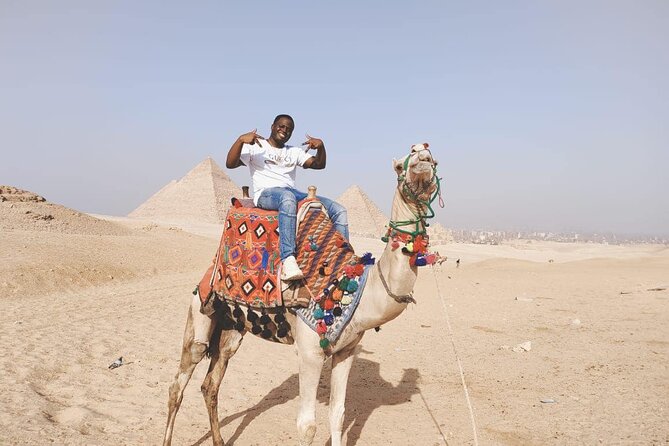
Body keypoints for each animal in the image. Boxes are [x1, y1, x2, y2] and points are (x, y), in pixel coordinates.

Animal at [163, 144, 440, 446]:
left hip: (231, 328)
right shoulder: (309, 352)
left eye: (434, 160)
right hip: (199, 313)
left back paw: (220, 440)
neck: (357, 289)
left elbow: (338, 414)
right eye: (401, 166)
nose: (422, 156)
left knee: (210, 384)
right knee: (178, 383)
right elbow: (307, 427)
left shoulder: (346, 351)